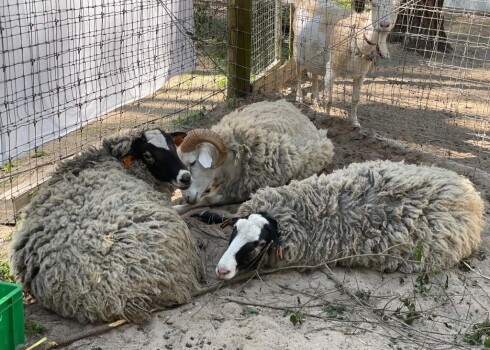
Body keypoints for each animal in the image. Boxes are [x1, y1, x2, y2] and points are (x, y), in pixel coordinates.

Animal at [171, 98, 334, 213]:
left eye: (192, 163)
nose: (187, 198)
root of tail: (295, 108)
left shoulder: (242, 193)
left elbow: (206, 200)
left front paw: (178, 209)